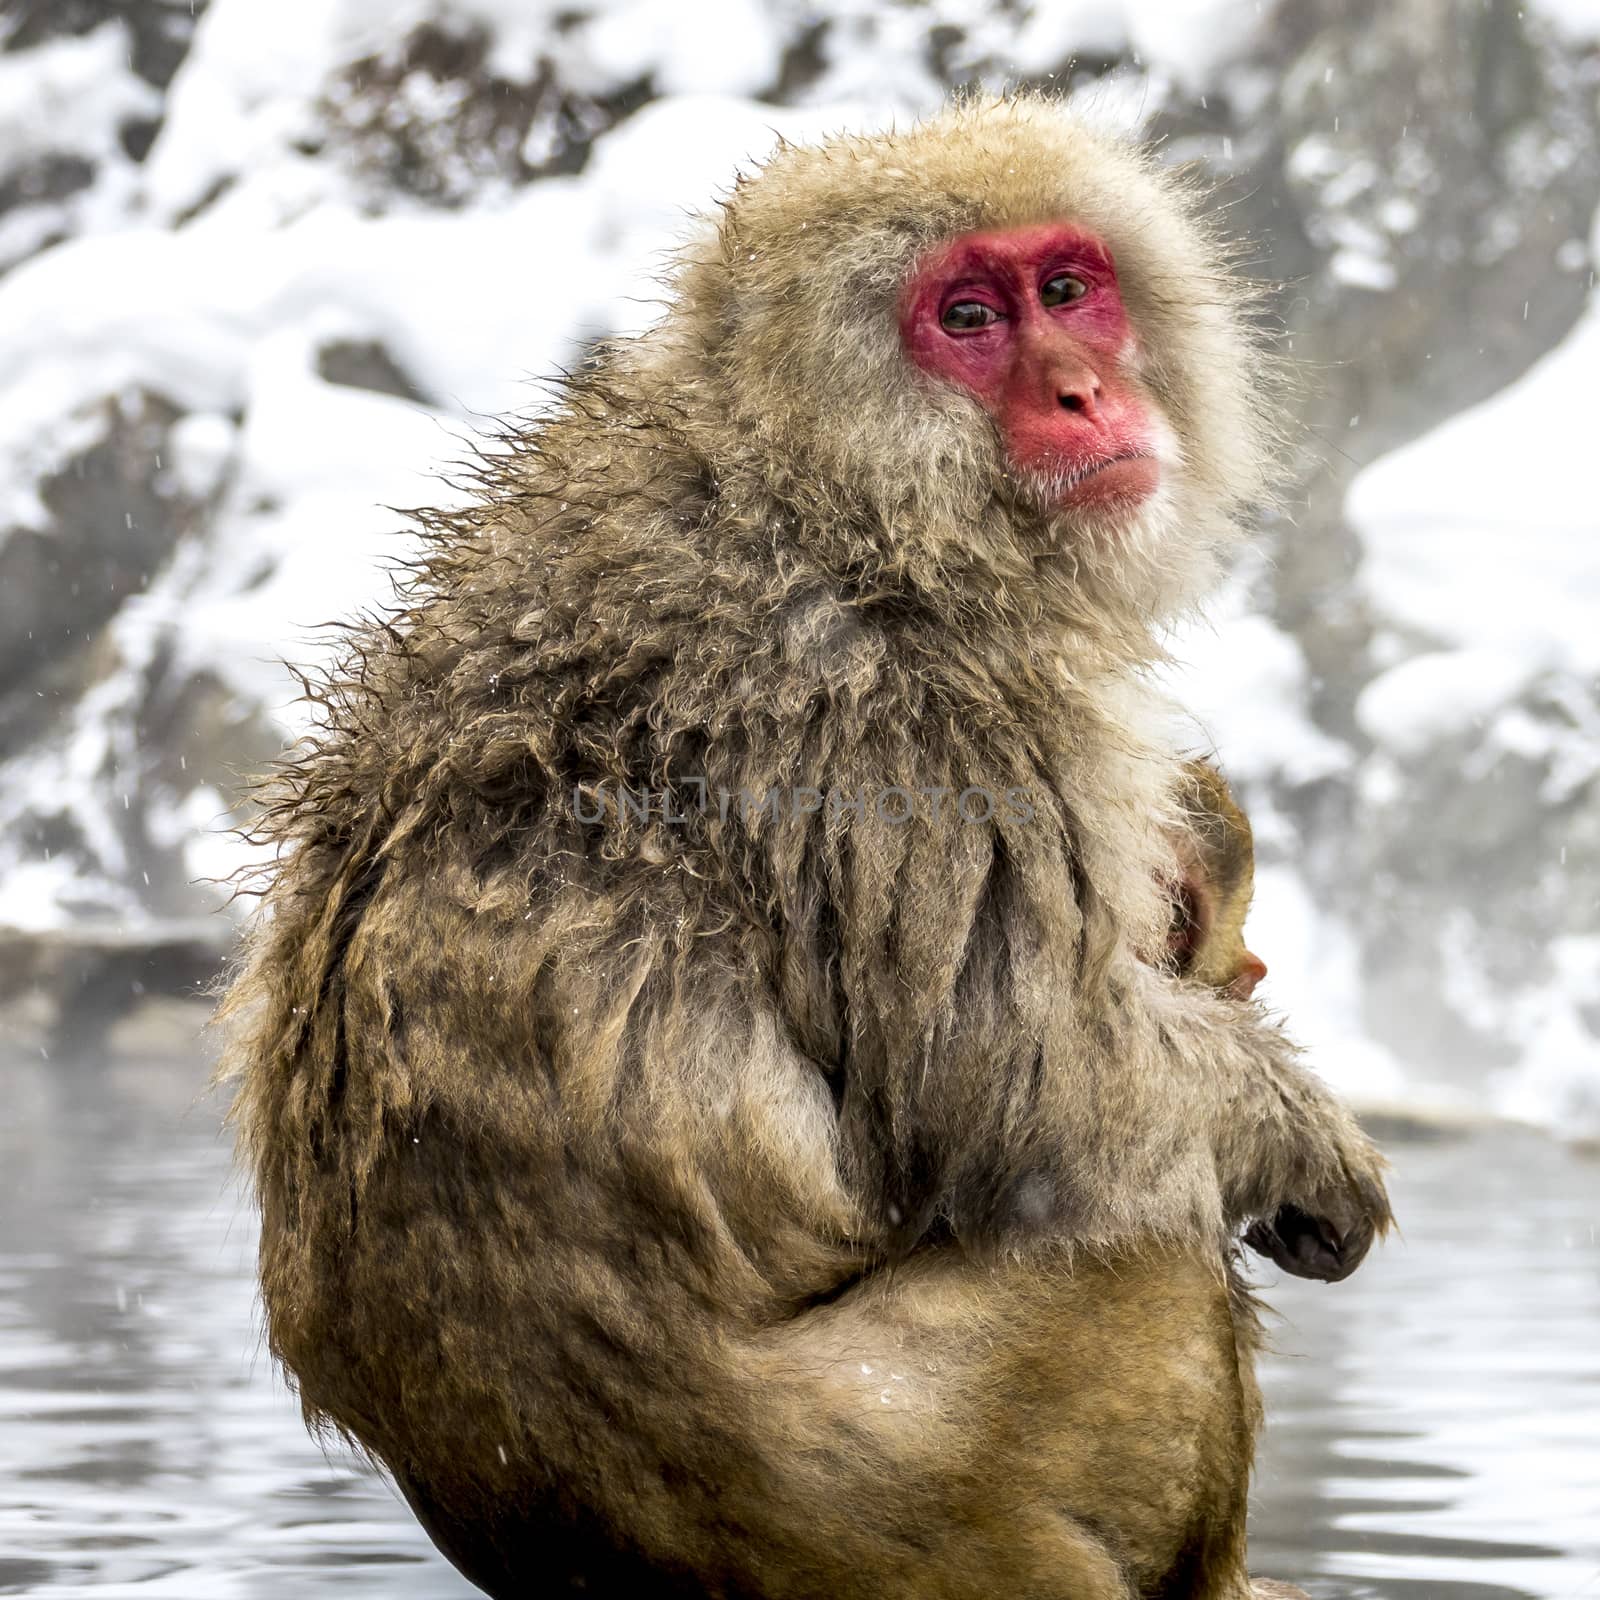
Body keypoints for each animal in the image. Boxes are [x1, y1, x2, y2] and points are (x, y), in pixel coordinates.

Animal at [222, 100, 1388, 1600]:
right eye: (967, 316)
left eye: (1069, 288)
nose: (1084, 392)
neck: (838, 491)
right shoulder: (898, 720)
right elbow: (1033, 1078)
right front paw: (1307, 1137)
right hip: (965, 1478)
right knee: (1131, 1215)